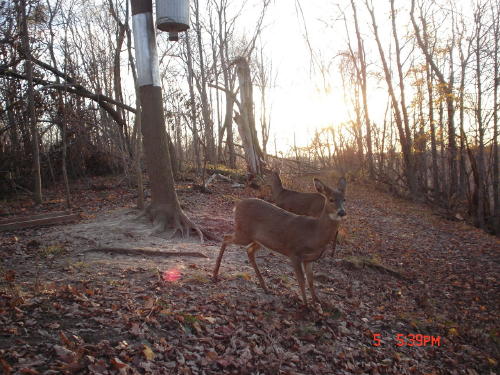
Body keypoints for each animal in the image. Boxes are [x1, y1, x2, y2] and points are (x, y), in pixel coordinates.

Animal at [212, 178, 348, 306]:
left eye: (344, 199)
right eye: (331, 199)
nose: (342, 212)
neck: (315, 233)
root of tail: (237, 205)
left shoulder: (309, 259)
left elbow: (311, 280)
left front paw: (316, 302)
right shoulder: (294, 252)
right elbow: (301, 280)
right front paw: (306, 305)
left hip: (259, 240)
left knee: (249, 250)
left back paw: (265, 287)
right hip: (244, 233)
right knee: (225, 238)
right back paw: (215, 274)